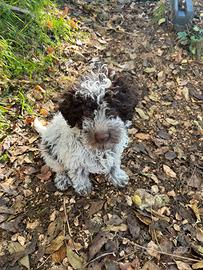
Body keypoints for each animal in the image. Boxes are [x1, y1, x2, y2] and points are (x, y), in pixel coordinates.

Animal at [35, 65, 139, 194]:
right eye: (86, 112)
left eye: (112, 107)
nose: (102, 137)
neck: (99, 149)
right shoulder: (74, 157)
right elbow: (78, 172)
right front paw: (82, 186)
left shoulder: (115, 151)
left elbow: (114, 164)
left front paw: (117, 176)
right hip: (50, 153)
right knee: (59, 168)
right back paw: (62, 179)